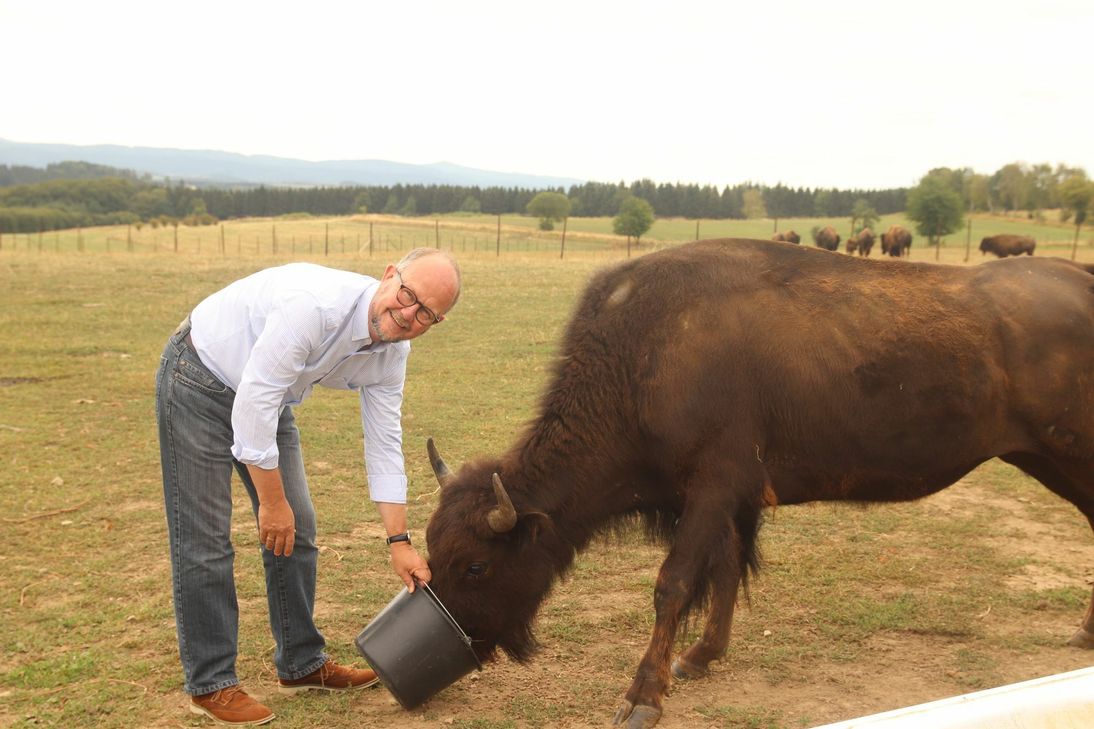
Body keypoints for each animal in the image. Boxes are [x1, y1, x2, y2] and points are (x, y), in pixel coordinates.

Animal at [424, 239, 1094, 729]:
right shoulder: (730, 501)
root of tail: (1080, 279)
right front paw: (699, 658)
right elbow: (725, 571)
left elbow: (673, 584)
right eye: (430, 551)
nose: (467, 643)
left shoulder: (711, 490)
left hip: (1068, 454)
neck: (642, 360)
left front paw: (642, 698)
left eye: (477, 566)